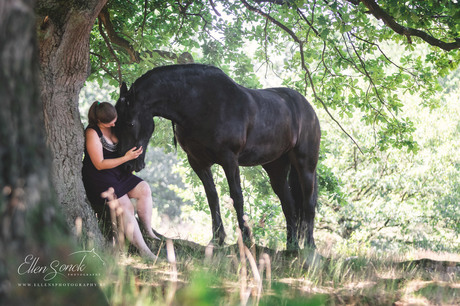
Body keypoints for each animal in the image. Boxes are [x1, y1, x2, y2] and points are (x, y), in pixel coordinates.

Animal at [116, 63, 320, 250]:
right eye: (115, 124)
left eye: (130, 123)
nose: (127, 166)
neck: (200, 103)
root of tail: (308, 108)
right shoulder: (198, 162)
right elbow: (212, 197)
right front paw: (217, 239)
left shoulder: (229, 159)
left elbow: (237, 196)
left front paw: (246, 238)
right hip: (276, 167)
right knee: (289, 204)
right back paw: (291, 246)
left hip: (305, 165)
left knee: (308, 203)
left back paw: (310, 247)